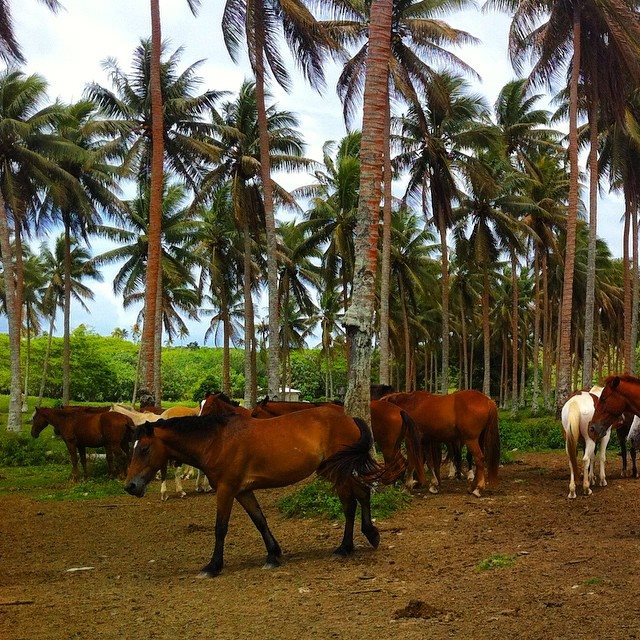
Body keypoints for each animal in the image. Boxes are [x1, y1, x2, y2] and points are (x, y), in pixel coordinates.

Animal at [124, 405, 396, 577]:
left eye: (144, 449)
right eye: (133, 447)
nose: (130, 486)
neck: (217, 441)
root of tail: (349, 418)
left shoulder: (226, 490)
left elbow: (220, 528)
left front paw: (213, 566)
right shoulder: (243, 491)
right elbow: (260, 520)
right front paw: (273, 555)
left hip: (339, 471)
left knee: (355, 499)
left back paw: (356, 542)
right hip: (334, 471)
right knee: (355, 500)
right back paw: (354, 543)